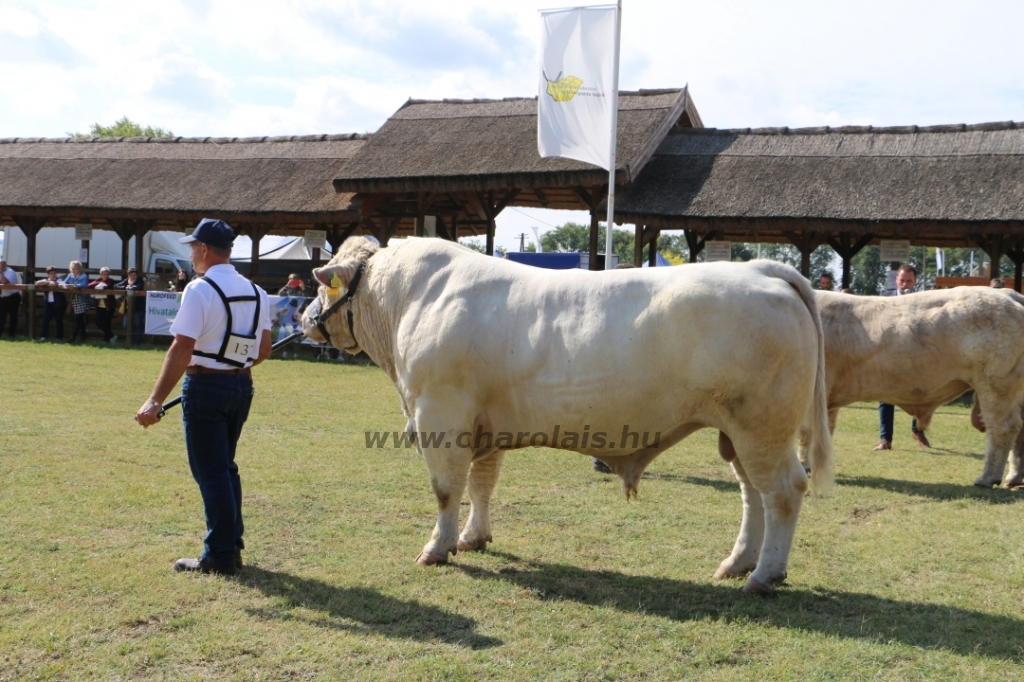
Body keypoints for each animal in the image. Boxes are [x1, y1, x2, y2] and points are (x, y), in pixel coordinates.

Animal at [301, 237, 831, 589]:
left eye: (324, 285)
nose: (305, 318)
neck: (409, 299)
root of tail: (760, 269)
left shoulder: (440, 415)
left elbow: (446, 488)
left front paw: (438, 548)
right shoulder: (485, 425)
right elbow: (481, 484)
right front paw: (474, 537)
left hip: (762, 426)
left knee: (783, 491)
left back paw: (764, 575)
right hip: (739, 432)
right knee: (753, 495)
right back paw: (738, 564)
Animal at [798, 288, 1024, 485]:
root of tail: (1007, 294)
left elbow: (807, 430)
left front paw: (805, 467)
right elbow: (824, 432)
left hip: (996, 385)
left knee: (1003, 428)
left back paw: (988, 479)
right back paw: (1014, 478)